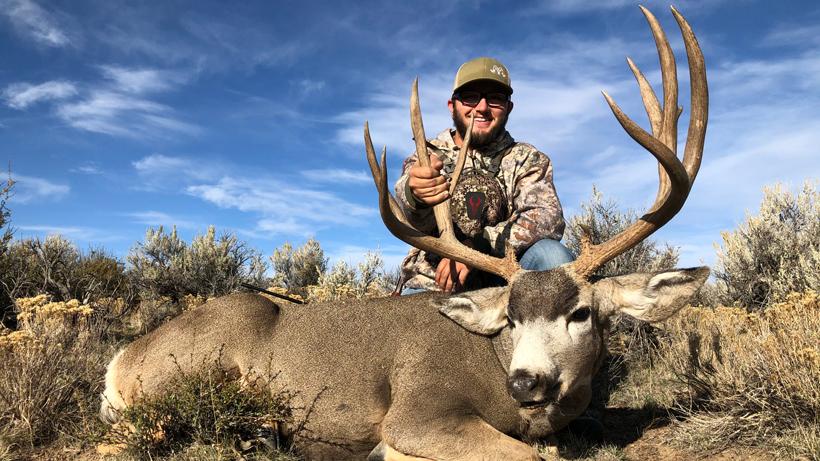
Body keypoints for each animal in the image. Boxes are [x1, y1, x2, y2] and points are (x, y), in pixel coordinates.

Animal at [100, 6, 708, 460]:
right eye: (511, 318)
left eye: (580, 313)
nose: (525, 382)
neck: (491, 364)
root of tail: (121, 361)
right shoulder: (417, 410)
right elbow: (522, 453)